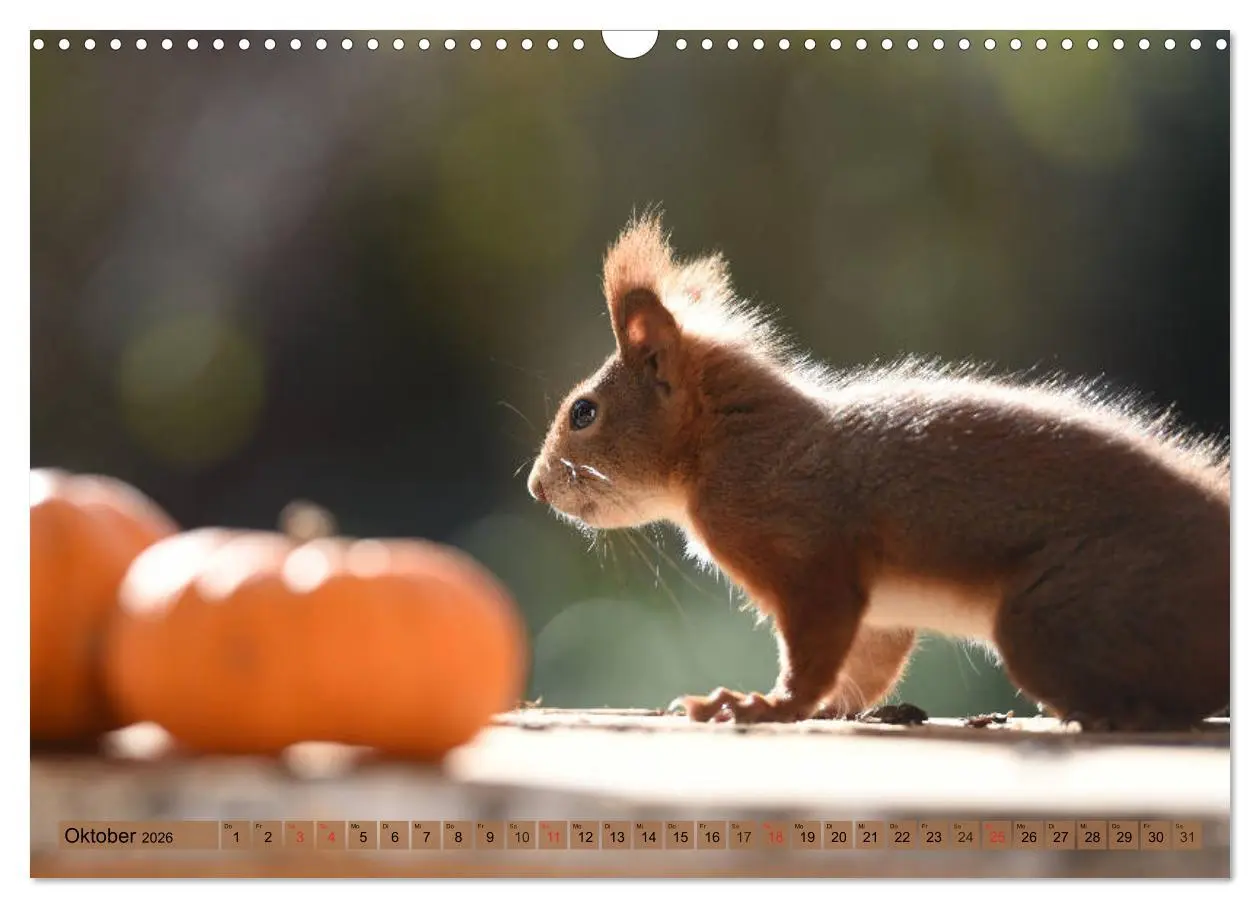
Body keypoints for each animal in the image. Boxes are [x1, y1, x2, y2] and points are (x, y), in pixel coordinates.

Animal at [526, 212, 1230, 730]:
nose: (536, 487)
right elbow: (867, 664)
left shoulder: (808, 556)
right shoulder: (877, 613)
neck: (734, 441)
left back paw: (1122, 713)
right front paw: (832, 709)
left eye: (584, 412)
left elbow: (814, 649)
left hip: (1065, 614)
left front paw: (762, 706)